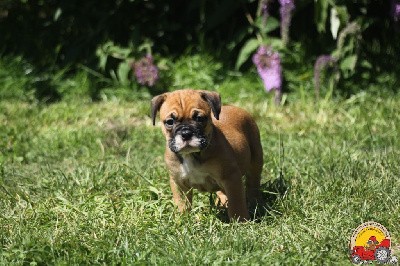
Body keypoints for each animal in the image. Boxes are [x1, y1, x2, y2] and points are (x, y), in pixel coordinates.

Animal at [151, 89, 262, 220]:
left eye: (199, 118)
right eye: (170, 122)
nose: (186, 133)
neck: (192, 154)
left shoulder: (231, 177)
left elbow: (236, 203)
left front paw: (240, 220)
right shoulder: (178, 182)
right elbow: (182, 203)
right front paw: (183, 219)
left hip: (256, 159)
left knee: (253, 182)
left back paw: (254, 202)